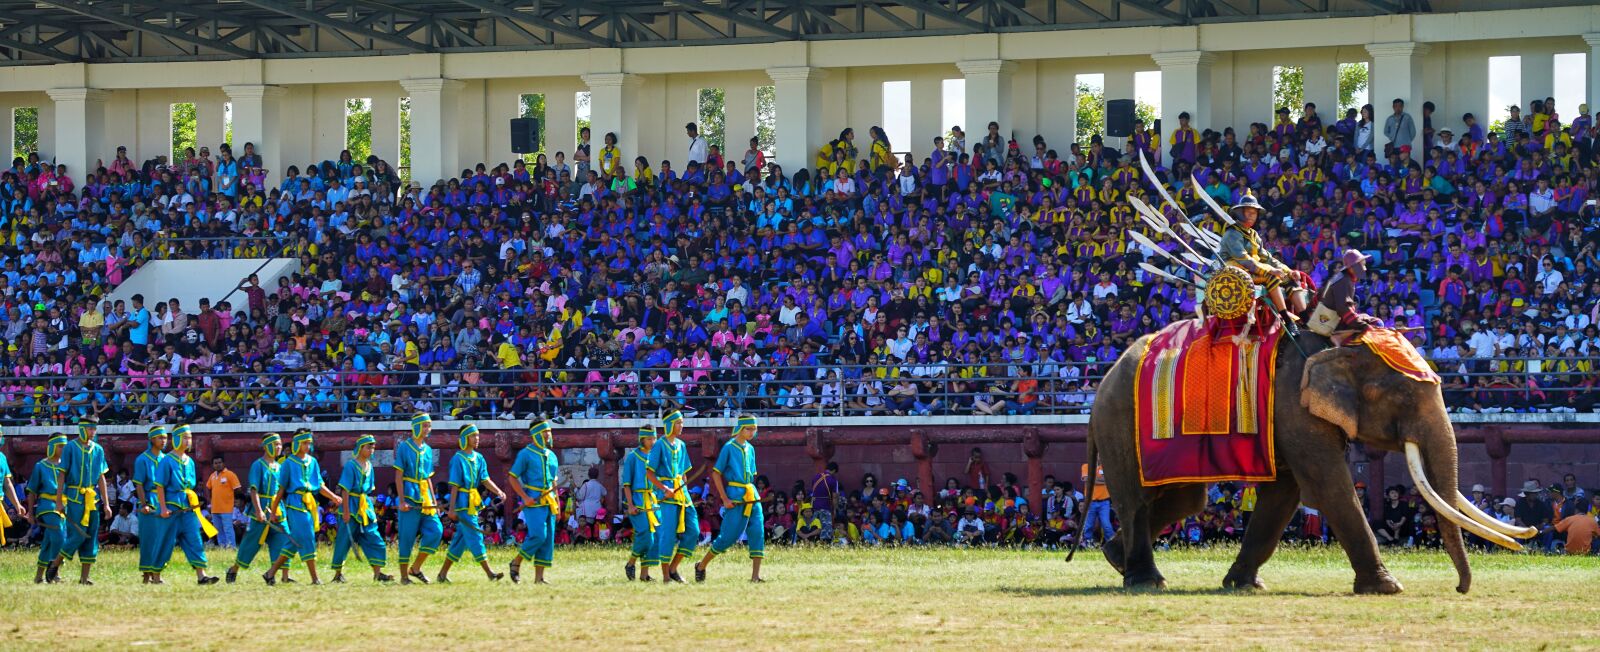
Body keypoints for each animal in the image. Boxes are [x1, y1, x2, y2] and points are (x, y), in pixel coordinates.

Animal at [1081, 329, 1529, 594]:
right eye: (1404, 396)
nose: (1460, 589)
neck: (1338, 344)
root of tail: (1103, 380)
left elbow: (1285, 495)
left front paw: (1244, 586)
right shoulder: (1293, 406)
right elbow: (1328, 486)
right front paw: (1388, 587)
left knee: (1185, 500)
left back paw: (1115, 558)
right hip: (1120, 422)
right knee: (1139, 501)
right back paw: (1145, 582)